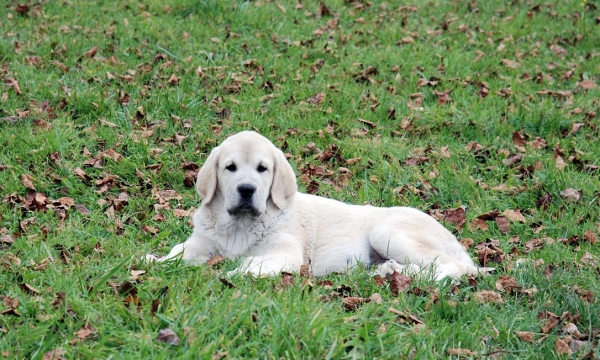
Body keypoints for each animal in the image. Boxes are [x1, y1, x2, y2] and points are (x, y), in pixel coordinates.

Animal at [145, 131, 492, 280]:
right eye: (230, 168)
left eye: (262, 169)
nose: (246, 189)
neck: (239, 225)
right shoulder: (200, 243)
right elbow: (178, 253)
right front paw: (155, 261)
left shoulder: (286, 253)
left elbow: (253, 264)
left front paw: (233, 271)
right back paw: (388, 270)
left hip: (387, 231)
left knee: (451, 268)